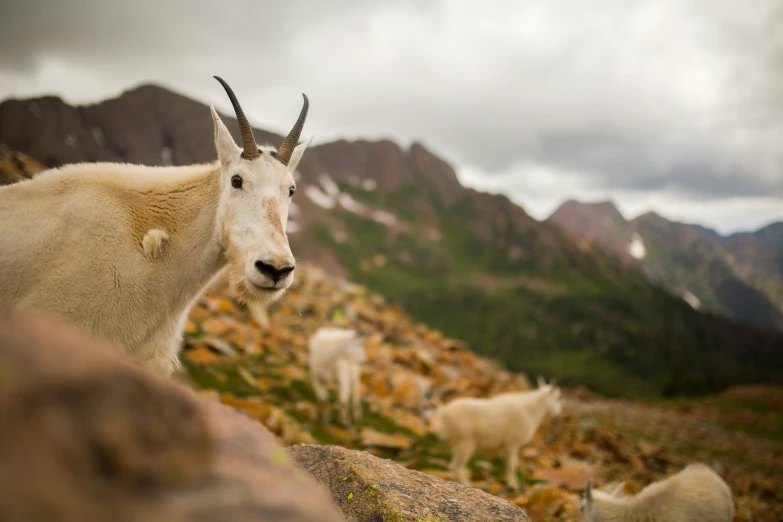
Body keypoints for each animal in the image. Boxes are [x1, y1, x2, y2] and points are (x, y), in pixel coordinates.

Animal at [428, 376, 564, 490]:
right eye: (557, 397)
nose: (558, 416)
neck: (530, 411)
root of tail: (443, 411)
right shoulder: (512, 444)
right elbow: (512, 466)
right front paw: (513, 485)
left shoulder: (505, 446)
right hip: (465, 444)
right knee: (458, 466)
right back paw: (468, 484)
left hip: (457, 444)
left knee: (453, 466)